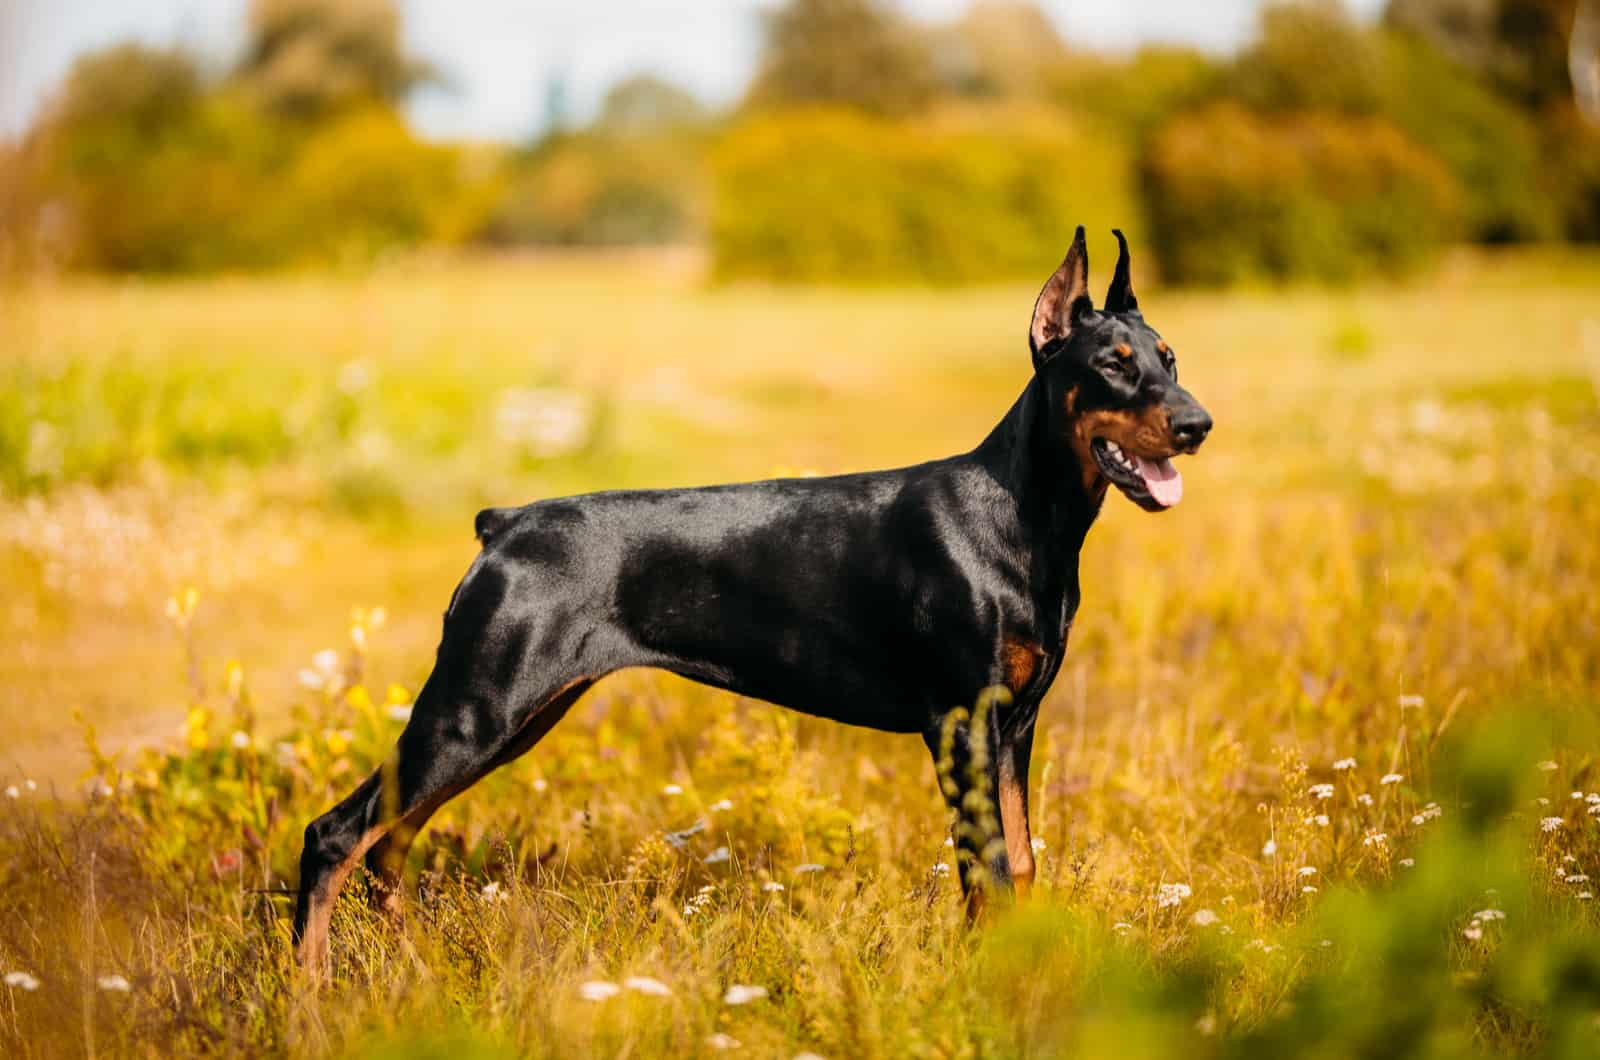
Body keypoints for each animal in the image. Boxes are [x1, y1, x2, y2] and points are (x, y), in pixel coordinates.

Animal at [291, 228, 1209, 973]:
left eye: (1169, 358)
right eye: (1112, 363)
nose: (1198, 424)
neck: (1022, 513)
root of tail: (502, 524)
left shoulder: (1014, 724)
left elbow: (1018, 861)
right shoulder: (962, 726)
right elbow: (984, 870)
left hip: (517, 719)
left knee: (389, 845)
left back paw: (408, 973)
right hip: (477, 710)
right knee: (336, 835)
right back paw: (312, 996)